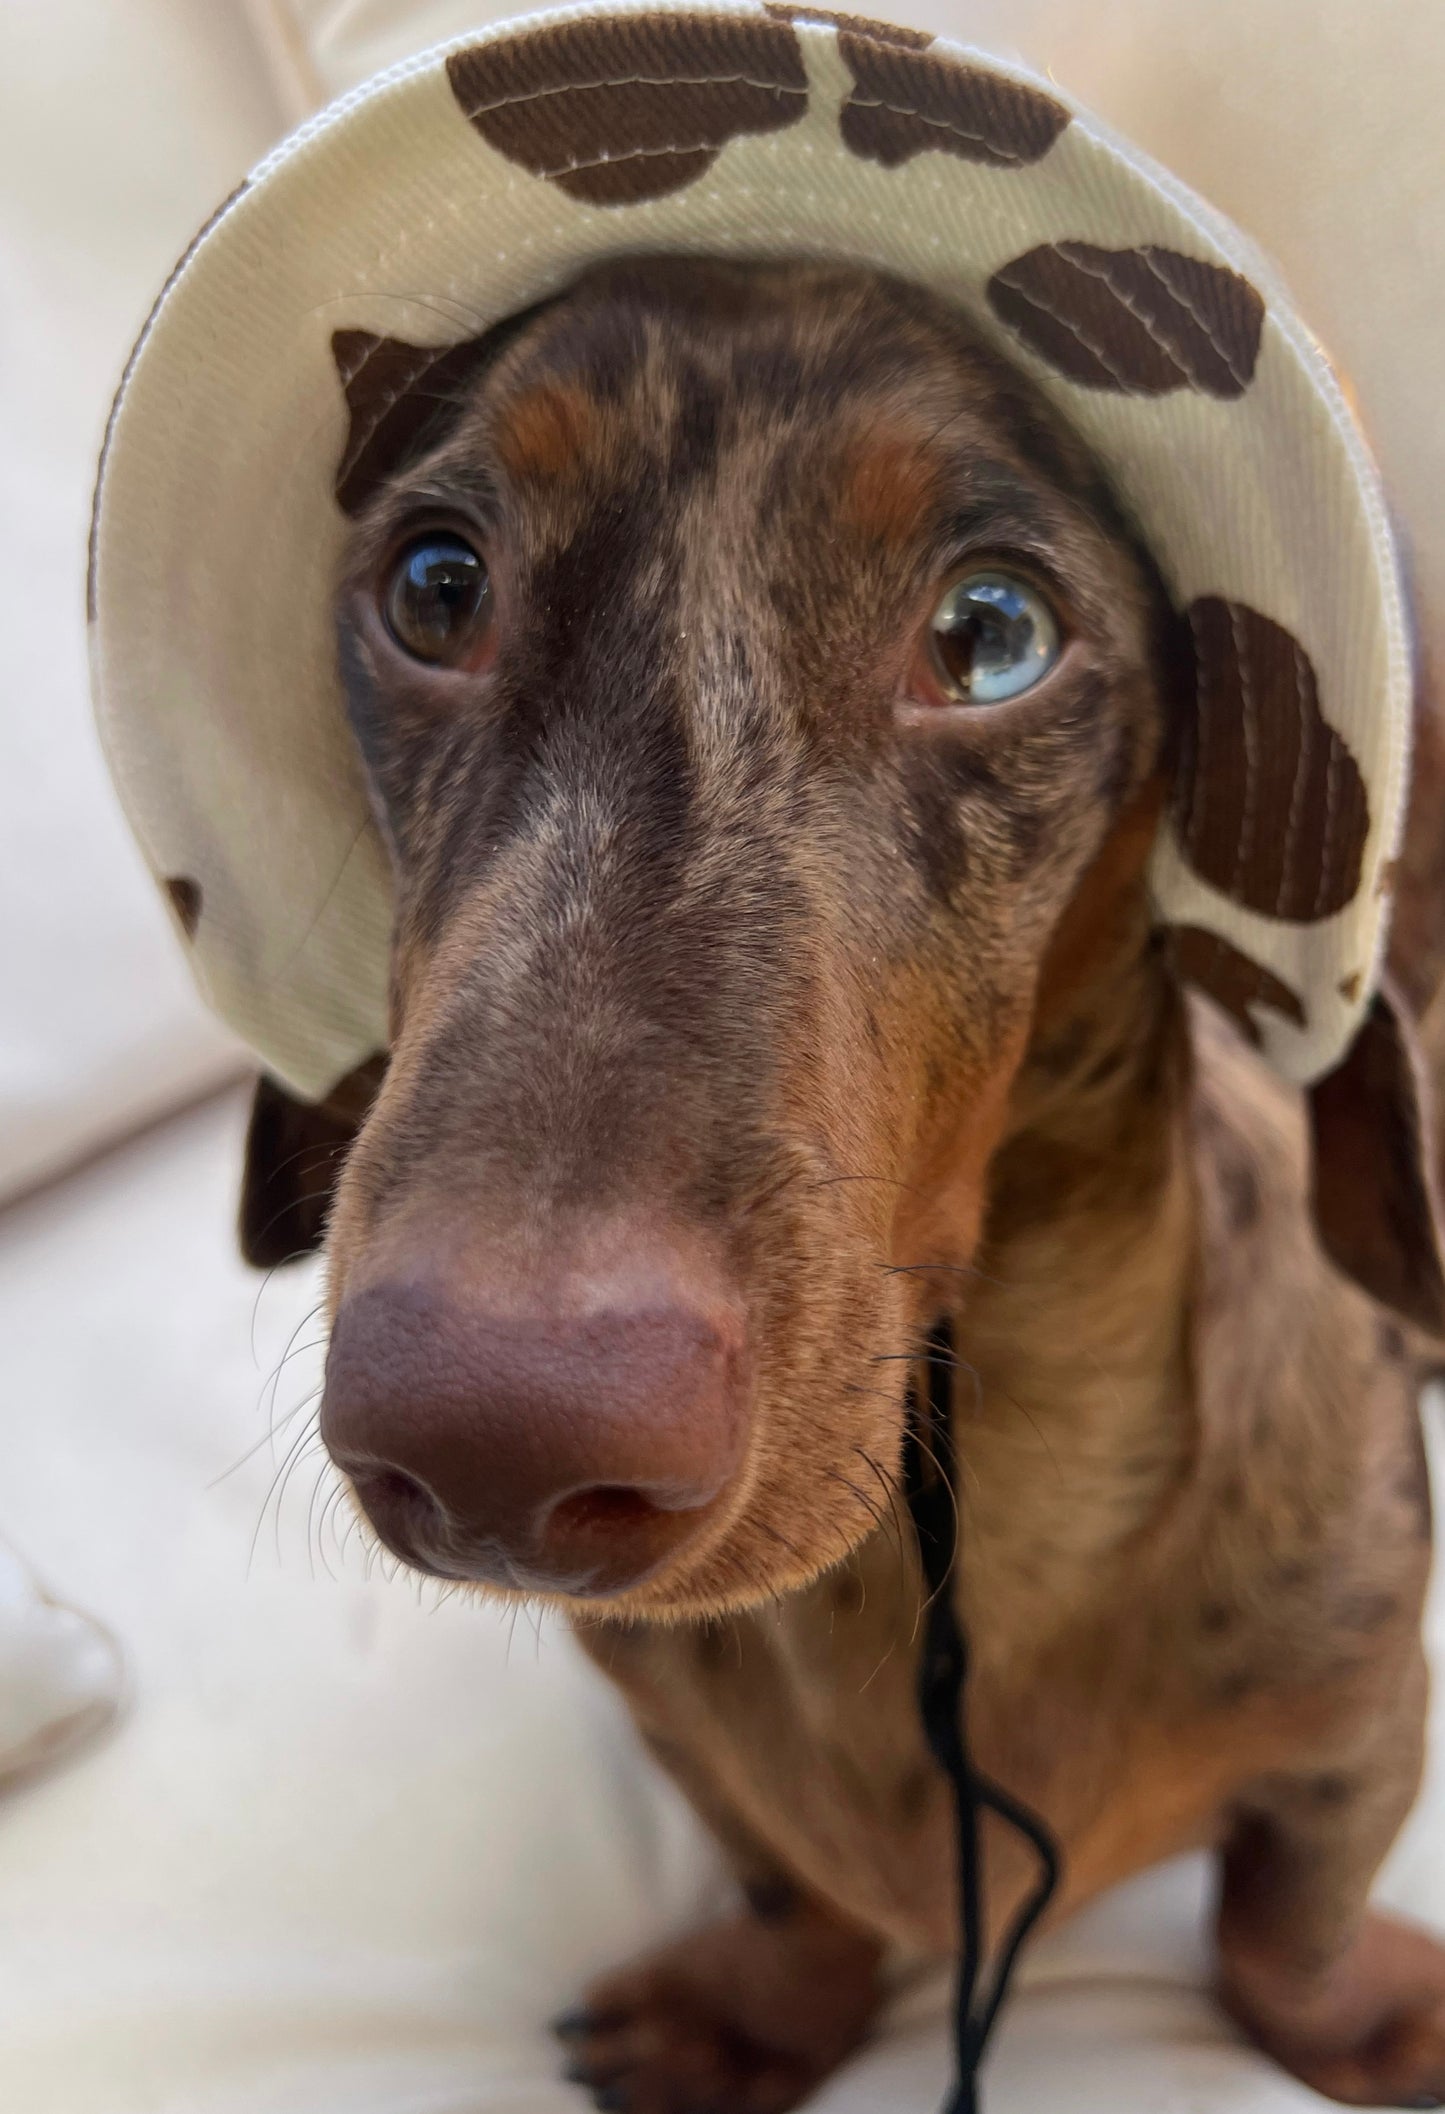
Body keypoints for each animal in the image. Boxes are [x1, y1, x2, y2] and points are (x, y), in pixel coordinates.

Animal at [242, 255, 1445, 2105]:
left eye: (991, 632)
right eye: (435, 589)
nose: (493, 1442)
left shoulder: (1365, 1724)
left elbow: (1283, 1929)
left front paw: (1371, 2022)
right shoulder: (677, 1732)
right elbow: (786, 1876)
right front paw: (759, 2010)